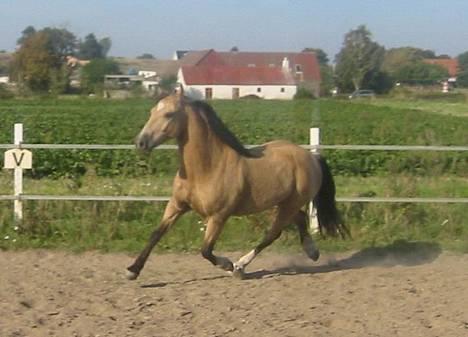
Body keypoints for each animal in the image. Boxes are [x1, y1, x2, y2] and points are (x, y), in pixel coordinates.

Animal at [126, 86, 350, 278]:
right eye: (152, 111)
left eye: (169, 114)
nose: (140, 142)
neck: (206, 168)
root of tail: (311, 157)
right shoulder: (177, 205)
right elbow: (156, 234)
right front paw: (133, 270)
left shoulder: (218, 217)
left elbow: (206, 250)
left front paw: (227, 265)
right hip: (282, 203)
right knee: (300, 219)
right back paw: (312, 252)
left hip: (289, 204)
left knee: (272, 234)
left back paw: (240, 266)